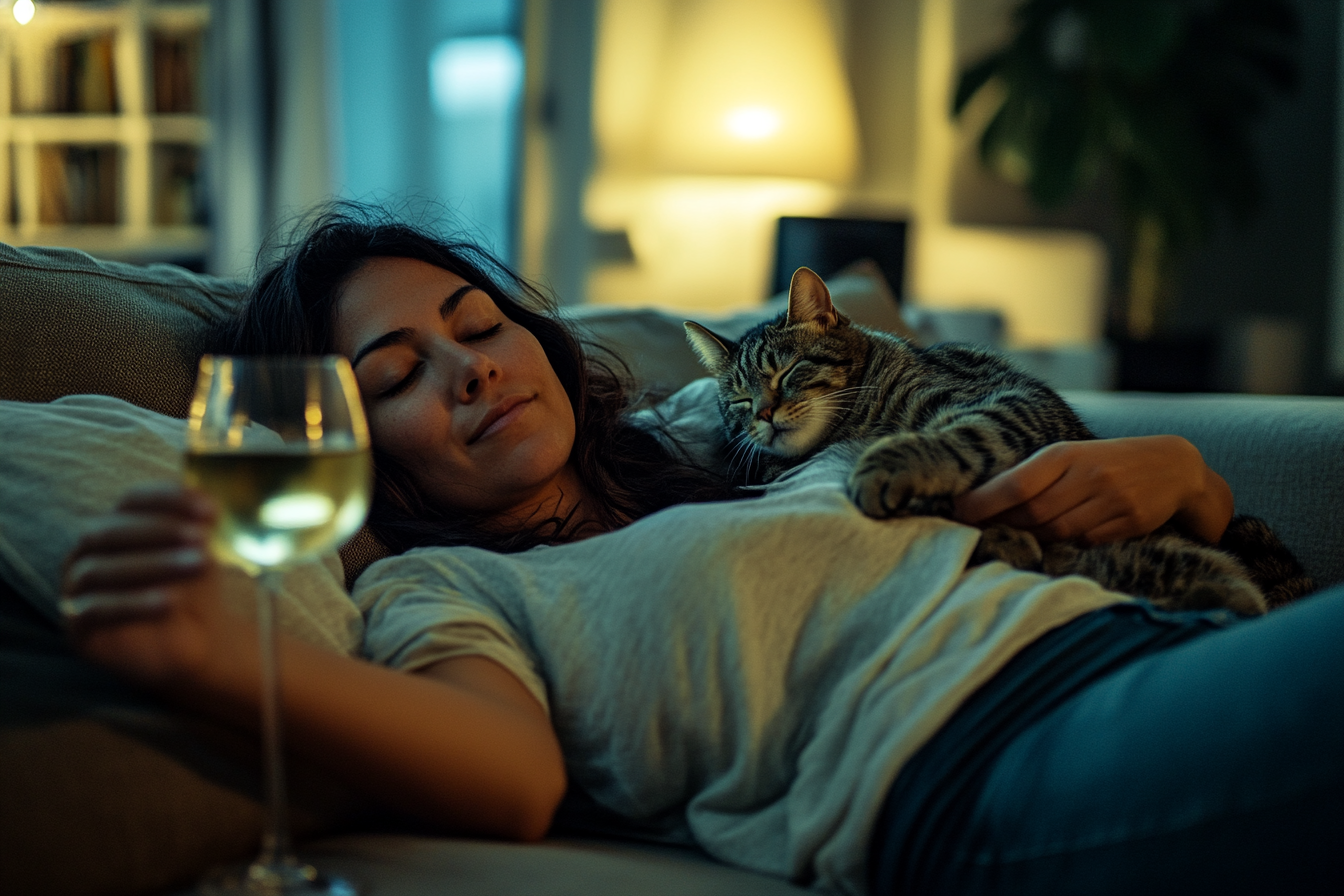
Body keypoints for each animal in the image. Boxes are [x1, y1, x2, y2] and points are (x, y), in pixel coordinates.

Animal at [682, 265, 1311, 617]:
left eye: (787, 374)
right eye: (738, 402)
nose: (764, 415)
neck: (856, 421)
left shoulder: (1006, 402)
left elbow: (959, 438)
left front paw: (886, 465)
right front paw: (1004, 536)